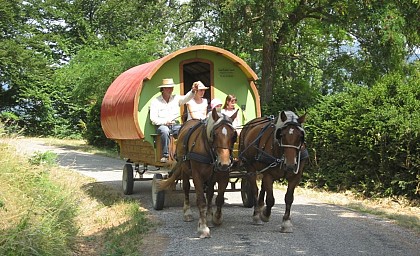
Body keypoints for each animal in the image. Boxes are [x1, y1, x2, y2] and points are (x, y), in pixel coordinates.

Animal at [159, 107, 238, 238]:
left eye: (233, 135)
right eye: (215, 134)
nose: (224, 164)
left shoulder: (223, 176)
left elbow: (219, 199)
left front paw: (216, 218)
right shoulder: (197, 176)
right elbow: (201, 201)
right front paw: (203, 227)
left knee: (210, 193)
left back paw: (209, 215)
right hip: (185, 170)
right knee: (186, 189)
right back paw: (187, 213)